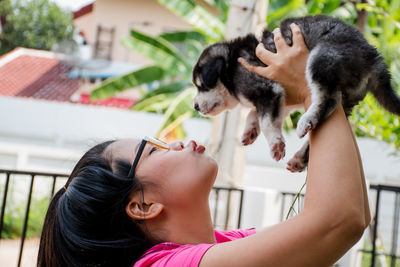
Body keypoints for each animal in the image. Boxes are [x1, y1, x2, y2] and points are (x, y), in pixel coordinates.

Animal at [191, 14, 400, 173]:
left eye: (201, 86)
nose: (195, 106)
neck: (230, 65)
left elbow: (267, 123)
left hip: (321, 58)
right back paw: (301, 158)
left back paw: (306, 121)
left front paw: (275, 144)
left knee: (329, 99)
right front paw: (250, 130)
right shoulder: (283, 100)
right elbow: (255, 113)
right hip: (347, 98)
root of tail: (373, 56)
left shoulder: (268, 89)